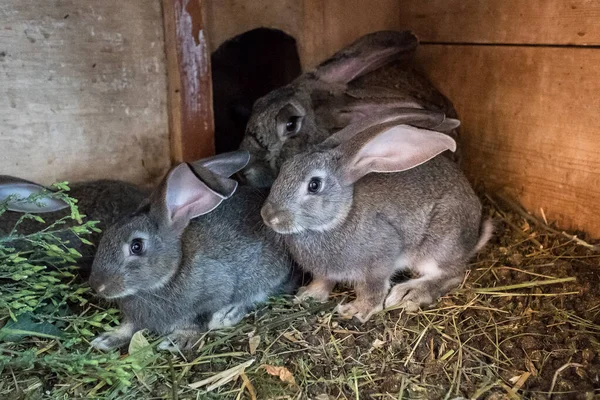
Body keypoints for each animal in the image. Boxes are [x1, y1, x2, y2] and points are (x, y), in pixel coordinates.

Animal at [88, 152, 298, 352]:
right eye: (107, 234)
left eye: (136, 246)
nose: (98, 286)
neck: (172, 272)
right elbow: (129, 327)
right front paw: (106, 339)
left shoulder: (214, 292)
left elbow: (197, 321)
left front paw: (177, 340)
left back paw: (227, 314)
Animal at [260, 111, 490, 324]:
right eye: (284, 168)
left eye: (314, 185)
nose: (268, 216)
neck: (341, 216)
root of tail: (474, 234)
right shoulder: (325, 271)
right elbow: (322, 281)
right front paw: (309, 295)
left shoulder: (379, 261)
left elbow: (372, 288)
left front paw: (356, 310)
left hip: (439, 244)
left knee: (452, 274)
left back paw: (410, 293)